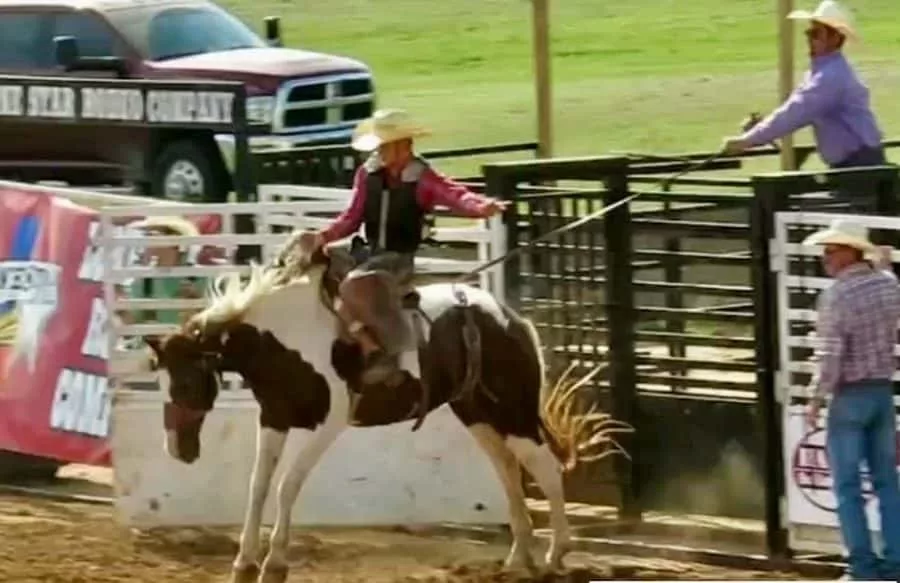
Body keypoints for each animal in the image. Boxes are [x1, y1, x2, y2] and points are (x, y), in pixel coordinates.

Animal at [142, 230, 632, 580]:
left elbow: (287, 486)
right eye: (161, 379)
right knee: (509, 470)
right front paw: (244, 562)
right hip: (477, 413)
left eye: (186, 381)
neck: (284, 337)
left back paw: (555, 555)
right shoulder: (275, 418)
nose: (177, 449)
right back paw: (516, 561)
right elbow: (259, 486)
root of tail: (509, 318)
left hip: (513, 411)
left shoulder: (328, 423)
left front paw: (274, 564)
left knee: (543, 467)